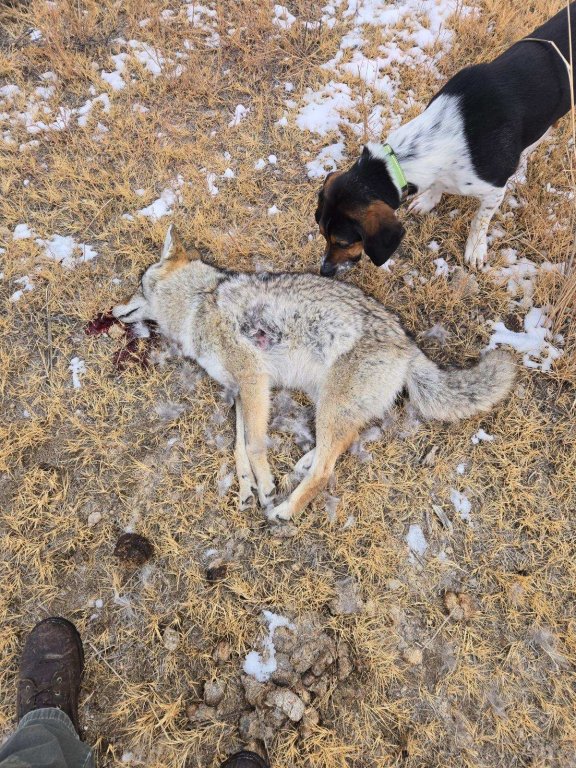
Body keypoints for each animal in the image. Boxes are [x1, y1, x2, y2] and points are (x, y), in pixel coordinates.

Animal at [113, 225, 515, 523]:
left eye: (137, 285)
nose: (113, 311)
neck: (200, 300)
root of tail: (407, 342)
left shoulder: (253, 381)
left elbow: (254, 445)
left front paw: (266, 486)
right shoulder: (242, 391)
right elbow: (239, 447)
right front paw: (246, 489)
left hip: (331, 405)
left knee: (325, 469)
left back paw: (286, 511)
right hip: (327, 403)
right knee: (337, 445)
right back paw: (304, 463)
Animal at [316, 3, 576, 275]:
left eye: (343, 242)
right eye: (322, 233)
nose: (324, 271)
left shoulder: (493, 191)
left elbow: (479, 221)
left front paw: (475, 249)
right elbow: (437, 185)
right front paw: (428, 201)